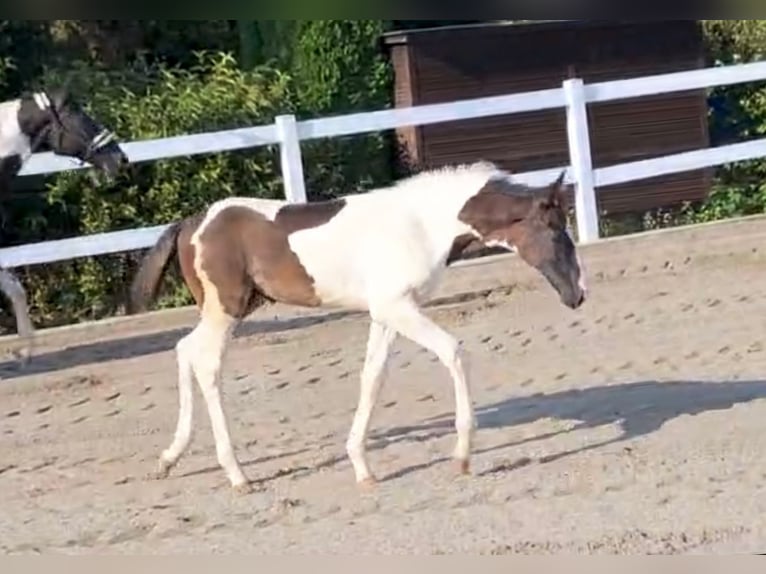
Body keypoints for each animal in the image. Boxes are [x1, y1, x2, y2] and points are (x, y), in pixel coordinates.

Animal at [130, 163, 588, 496]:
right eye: (554, 230)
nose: (577, 294)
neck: (422, 224)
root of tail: (191, 223)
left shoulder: (385, 313)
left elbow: (373, 377)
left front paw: (362, 468)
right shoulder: (397, 307)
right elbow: (453, 350)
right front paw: (461, 456)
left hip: (225, 310)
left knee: (185, 350)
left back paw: (171, 457)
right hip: (226, 310)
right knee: (207, 364)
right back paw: (237, 475)